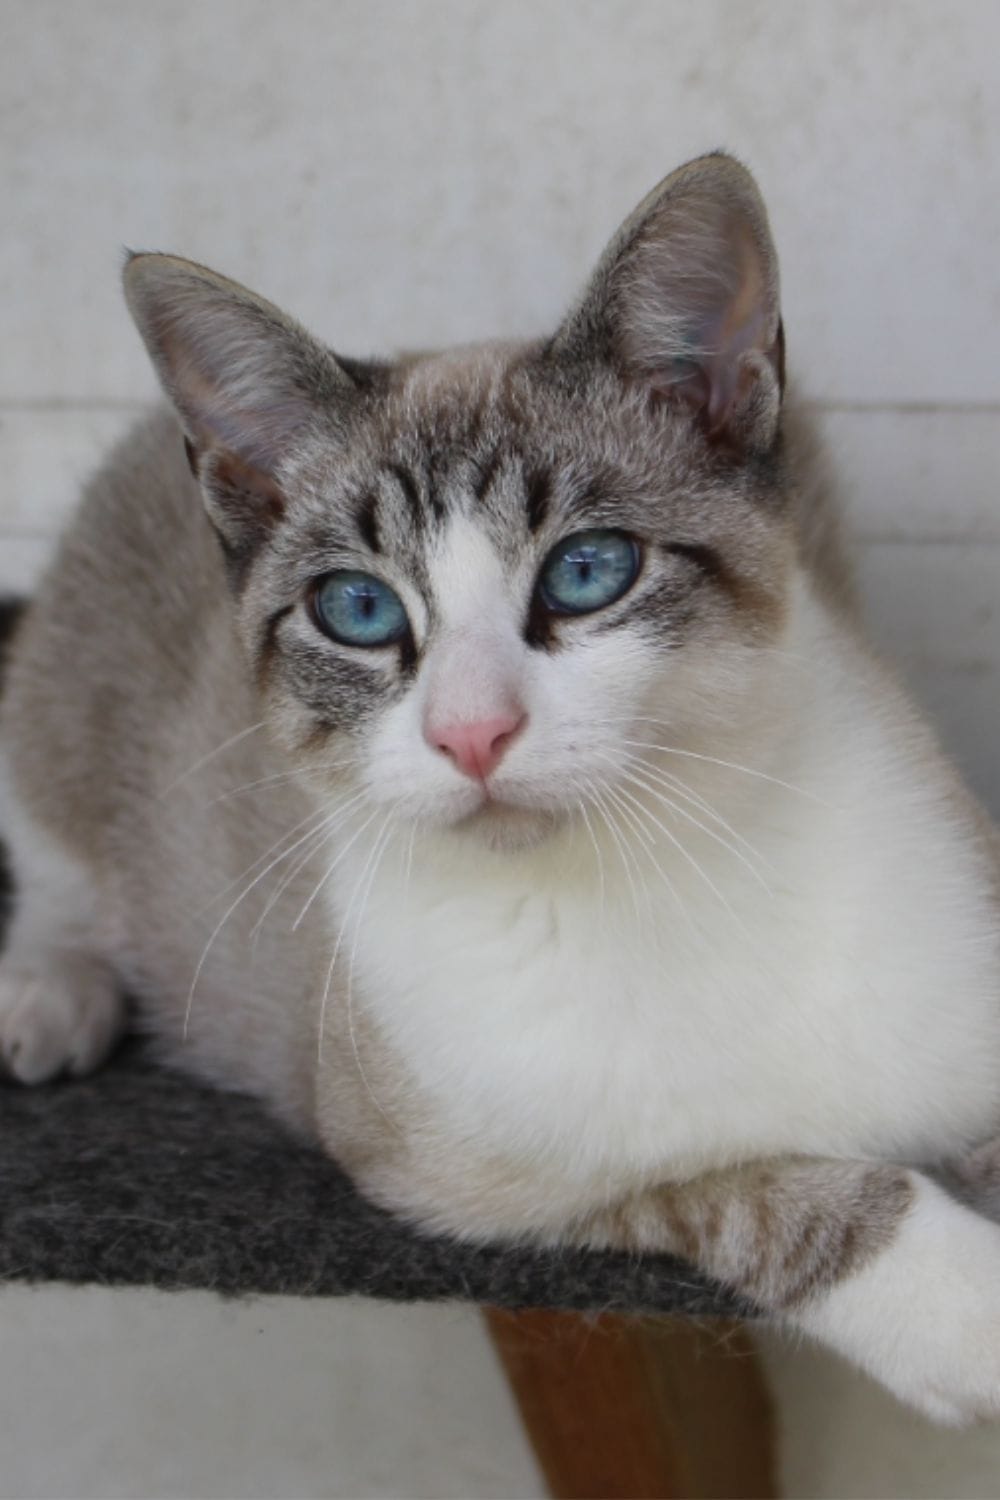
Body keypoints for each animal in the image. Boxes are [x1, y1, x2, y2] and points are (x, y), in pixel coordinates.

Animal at [1, 155, 1000, 1428]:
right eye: (359, 610)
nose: (471, 733)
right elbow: (762, 1184)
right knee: (54, 871)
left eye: (586, 572)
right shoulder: (483, 1183)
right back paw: (49, 1000)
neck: (649, 870)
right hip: (60, 725)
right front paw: (969, 1315)